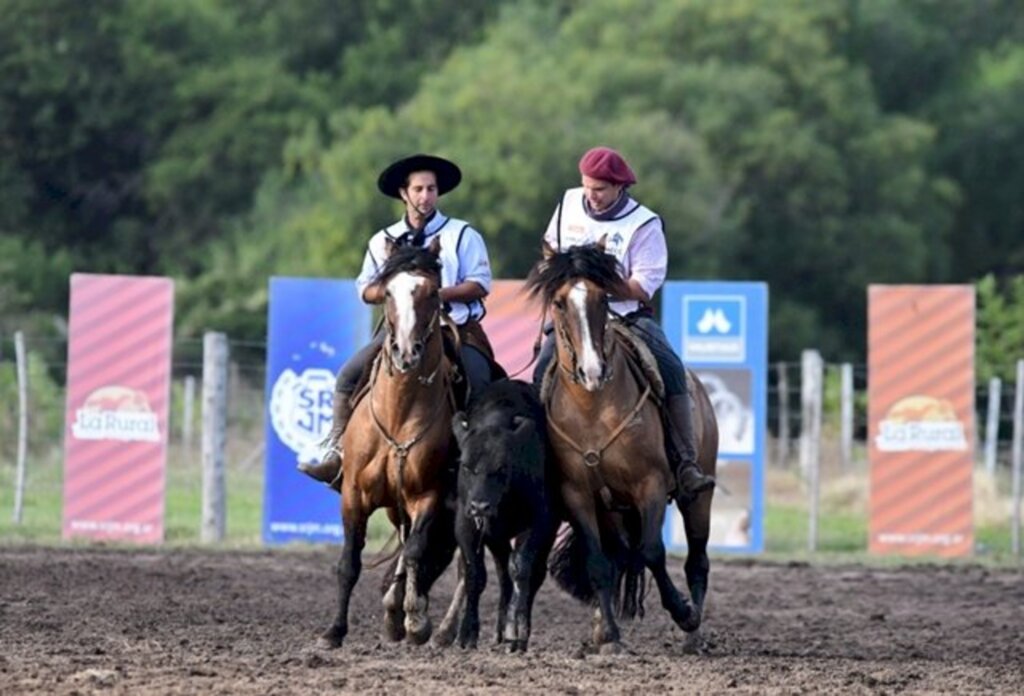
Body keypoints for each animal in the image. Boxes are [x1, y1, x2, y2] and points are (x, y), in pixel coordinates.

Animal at [321, 239, 458, 646]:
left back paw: (440, 628)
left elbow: (414, 553)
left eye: (432, 293)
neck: (399, 413)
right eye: (386, 292)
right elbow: (349, 562)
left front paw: (416, 620)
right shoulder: (353, 494)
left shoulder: (428, 495)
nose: (406, 352)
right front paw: (334, 630)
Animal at [528, 240, 720, 650]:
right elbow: (600, 562)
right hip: (612, 508)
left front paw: (681, 612)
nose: (592, 371)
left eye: (603, 298)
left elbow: (652, 552)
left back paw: (693, 631)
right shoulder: (578, 494)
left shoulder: (650, 486)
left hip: (697, 497)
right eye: (560, 302)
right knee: (616, 555)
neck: (592, 408)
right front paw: (609, 636)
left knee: (697, 559)